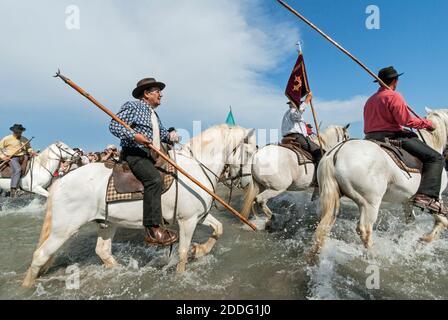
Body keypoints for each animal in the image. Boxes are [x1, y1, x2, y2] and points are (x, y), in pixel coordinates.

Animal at [21, 124, 256, 288]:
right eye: (252, 150)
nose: (247, 181)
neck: (195, 168)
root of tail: (60, 181)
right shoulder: (187, 220)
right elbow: (181, 252)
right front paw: (181, 274)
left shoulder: (199, 215)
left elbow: (219, 229)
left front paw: (199, 251)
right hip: (64, 228)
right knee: (40, 255)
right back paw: (26, 286)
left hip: (107, 223)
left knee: (102, 251)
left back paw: (121, 271)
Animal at [312, 109, 448, 256]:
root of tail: (336, 152)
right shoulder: (436, 198)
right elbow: (442, 221)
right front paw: (424, 239)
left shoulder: (407, 200)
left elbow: (411, 221)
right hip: (369, 203)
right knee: (365, 230)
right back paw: (376, 253)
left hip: (328, 200)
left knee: (323, 226)